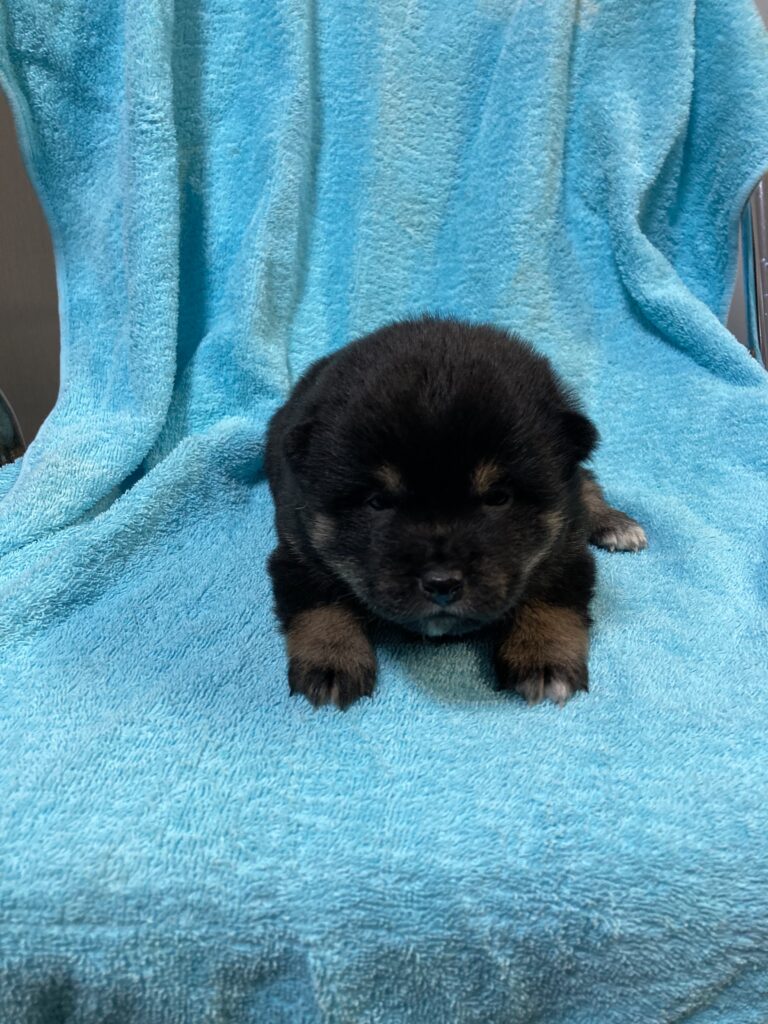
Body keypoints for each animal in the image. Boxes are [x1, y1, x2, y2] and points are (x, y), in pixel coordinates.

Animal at [265, 316, 646, 709]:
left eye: (498, 497)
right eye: (377, 502)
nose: (442, 584)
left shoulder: (565, 545)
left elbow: (550, 598)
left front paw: (544, 658)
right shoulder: (297, 546)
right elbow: (320, 604)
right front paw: (330, 663)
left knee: (585, 481)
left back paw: (614, 523)